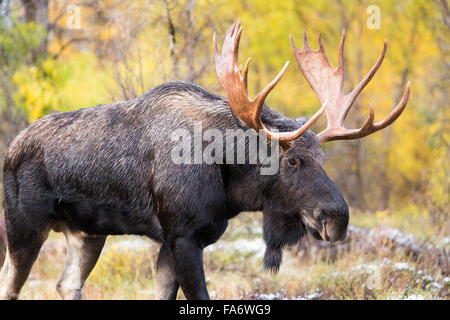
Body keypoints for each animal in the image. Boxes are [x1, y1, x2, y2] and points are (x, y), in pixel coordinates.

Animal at [0, 20, 408, 300]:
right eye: (292, 162)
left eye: (323, 157)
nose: (338, 218)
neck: (229, 187)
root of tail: (10, 149)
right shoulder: (182, 236)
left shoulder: (173, 242)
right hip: (24, 225)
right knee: (10, 284)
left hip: (88, 232)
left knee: (66, 283)